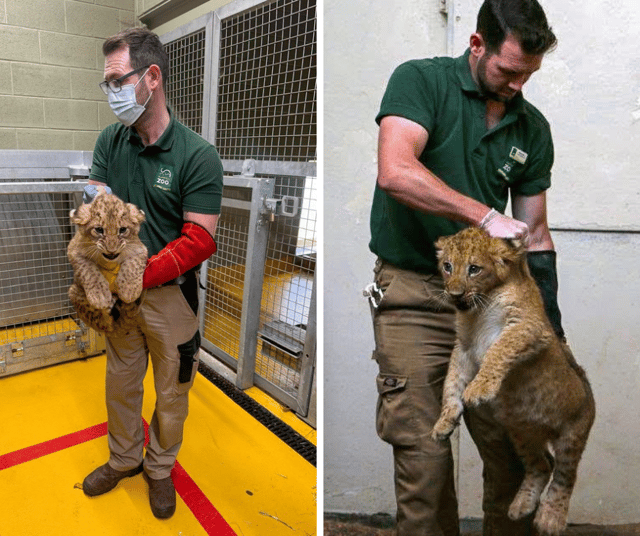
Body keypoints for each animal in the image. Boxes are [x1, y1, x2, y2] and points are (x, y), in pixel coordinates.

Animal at [67, 193, 148, 336]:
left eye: (122, 230)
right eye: (99, 230)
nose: (111, 250)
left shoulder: (140, 249)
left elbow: (132, 266)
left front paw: (129, 290)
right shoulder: (73, 250)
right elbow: (88, 270)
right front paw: (100, 296)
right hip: (73, 291)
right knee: (103, 323)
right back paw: (108, 309)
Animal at [431, 227, 595, 536]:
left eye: (474, 269)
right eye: (447, 266)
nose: (455, 294)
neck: (477, 311)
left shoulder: (528, 327)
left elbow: (498, 351)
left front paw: (478, 389)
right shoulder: (464, 349)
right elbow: (451, 382)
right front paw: (444, 421)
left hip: (572, 435)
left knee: (565, 475)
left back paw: (550, 519)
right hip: (522, 433)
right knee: (542, 465)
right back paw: (521, 506)